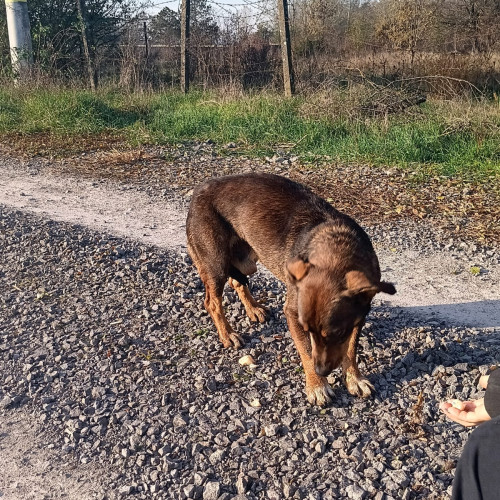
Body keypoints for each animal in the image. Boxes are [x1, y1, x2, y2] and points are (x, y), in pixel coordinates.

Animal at [186, 173, 396, 406]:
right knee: (212, 302)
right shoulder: (294, 313)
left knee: (237, 282)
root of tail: (200, 188)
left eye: (338, 333)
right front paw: (317, 386)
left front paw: (354, 379)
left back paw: (253, 309)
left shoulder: (358, 317)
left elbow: (350, 350)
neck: (337, 250)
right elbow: (307, 351)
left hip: (247, 259)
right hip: (216, 265)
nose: (321, 371)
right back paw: (228, 334)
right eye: (308, 330)